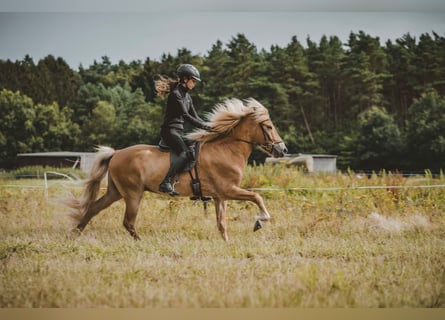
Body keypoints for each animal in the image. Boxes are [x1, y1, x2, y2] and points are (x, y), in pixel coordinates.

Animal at [66, 97, 288, 240]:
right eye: (269, 127)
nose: (283, 149)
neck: (226, 149)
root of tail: (117, 152)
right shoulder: (229, 190)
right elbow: (257, 197)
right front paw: (260, 222)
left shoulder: (220, 196)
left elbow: (222, 224)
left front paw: (226, 243)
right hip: (133, 194)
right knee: (128, 222)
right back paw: (141, 243)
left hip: (116, 191)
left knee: (94, 208)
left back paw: (74, 234)